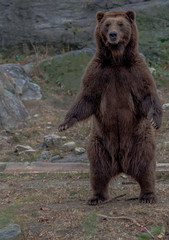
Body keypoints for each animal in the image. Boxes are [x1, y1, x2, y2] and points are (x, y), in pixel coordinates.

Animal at [58, 9, 162, 204]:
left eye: (120, 24)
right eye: (107, 24)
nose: (113, 34)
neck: (116, 60)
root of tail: (121, 165)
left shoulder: (136, 71)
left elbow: (147, 95)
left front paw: (155, 120)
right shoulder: (98, 72)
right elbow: (86, 98)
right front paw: (64, 124)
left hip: (139, 141)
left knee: (145, 165)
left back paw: (148, 195)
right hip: (100, 144)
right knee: (97, 170)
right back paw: (96, 197)